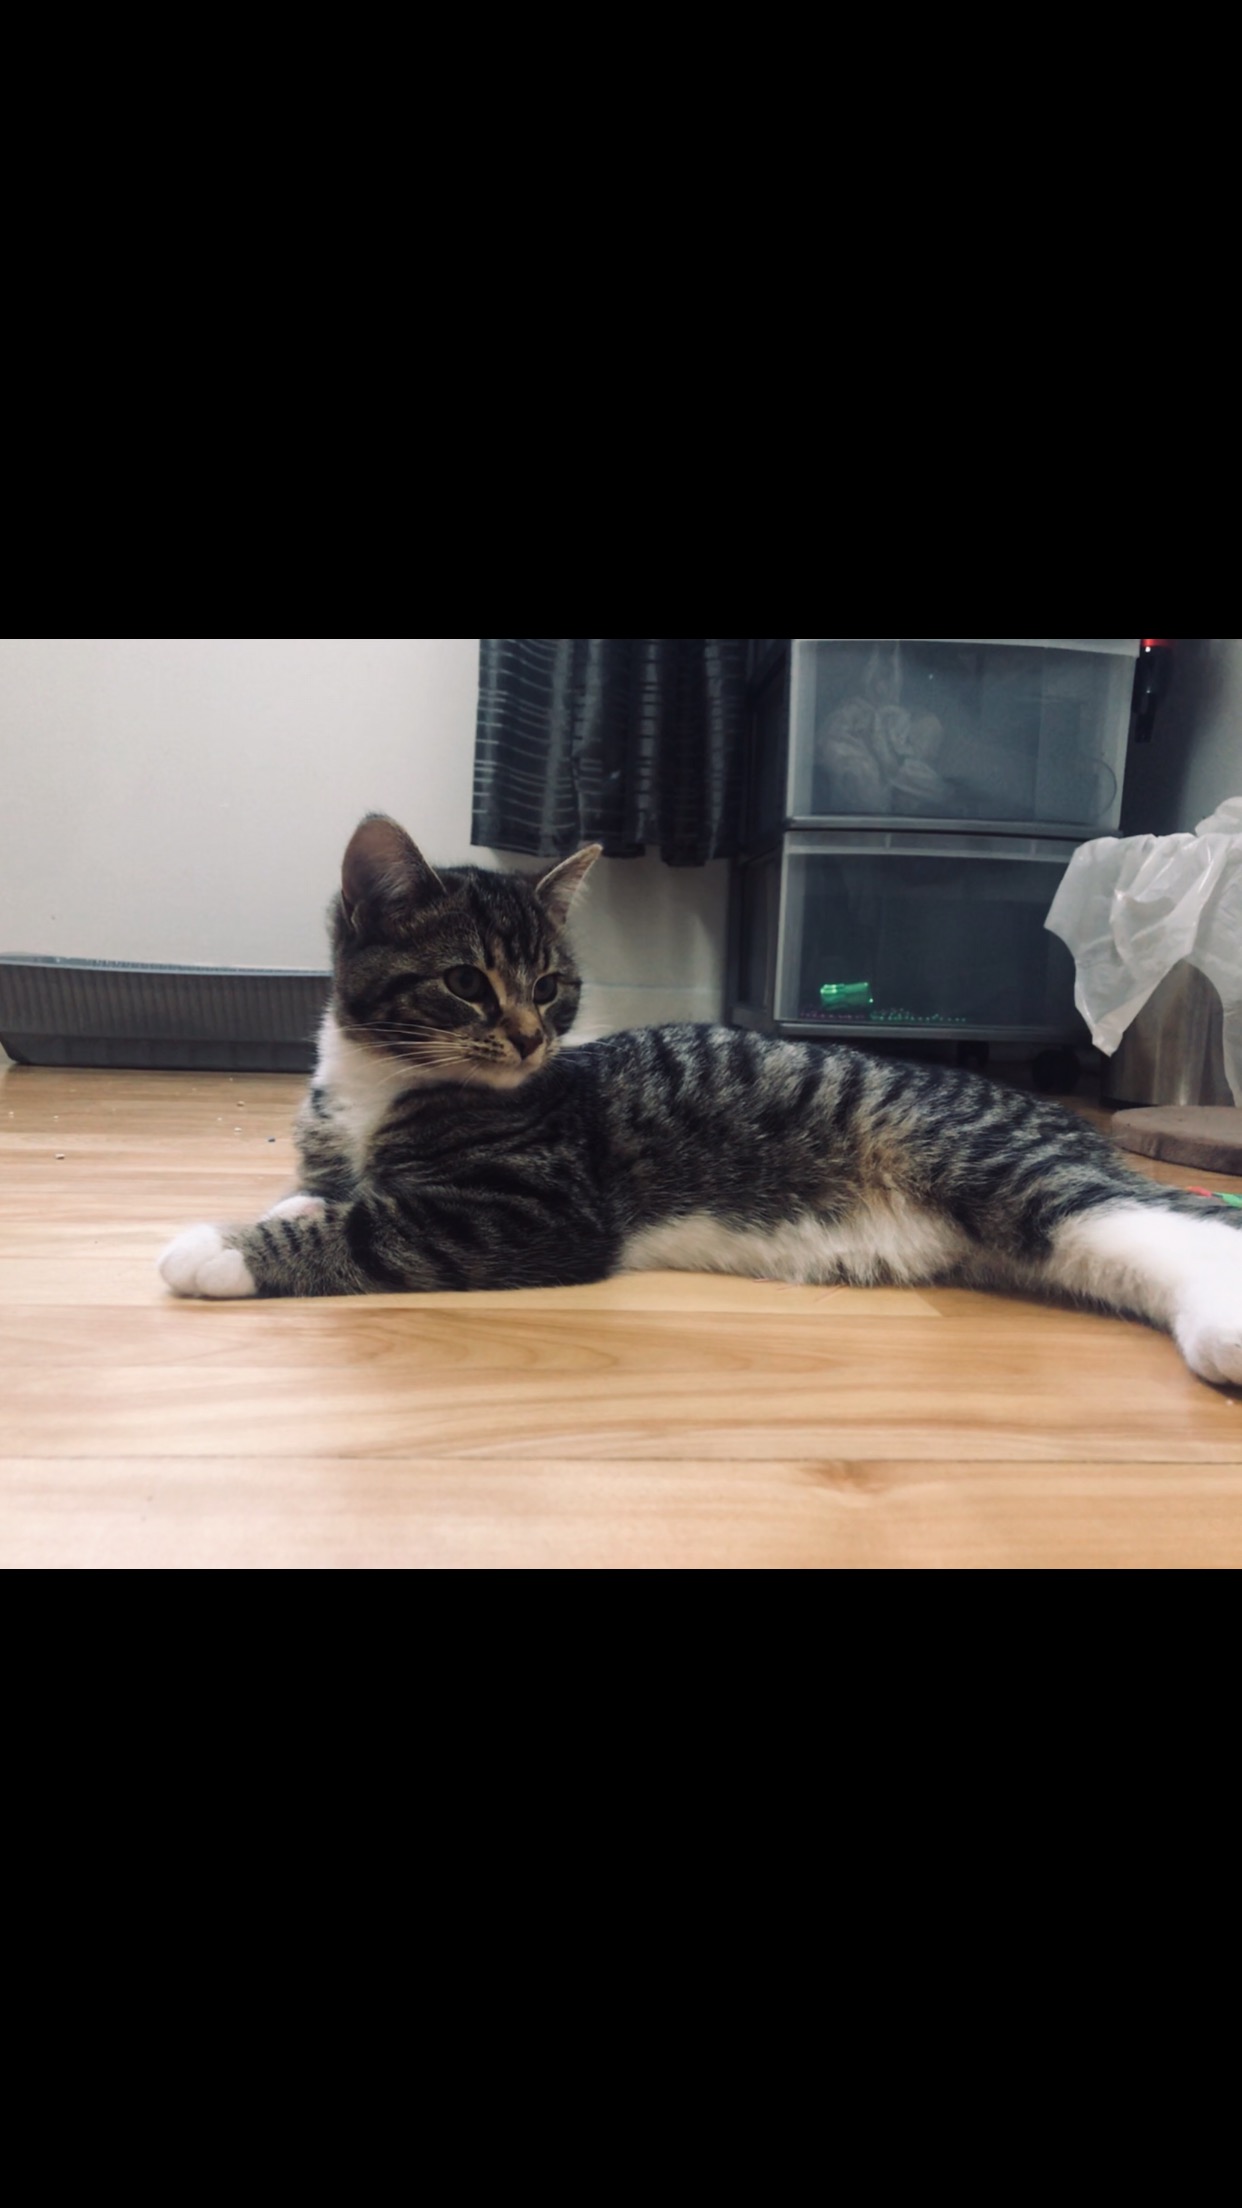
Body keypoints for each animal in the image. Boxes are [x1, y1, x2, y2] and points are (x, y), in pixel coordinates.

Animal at [160, 812, 1242, 1386]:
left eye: (550, 986)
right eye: (467, 982)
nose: (530, 1037)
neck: (380, 1083)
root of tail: (1055, 1115)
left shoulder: (540, 1208)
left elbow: (375, 1225)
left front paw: (219, 1245)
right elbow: (330, 1194)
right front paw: (286, 1204)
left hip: (992, 1163)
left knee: (1160, 1220)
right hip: (1028, 1240)